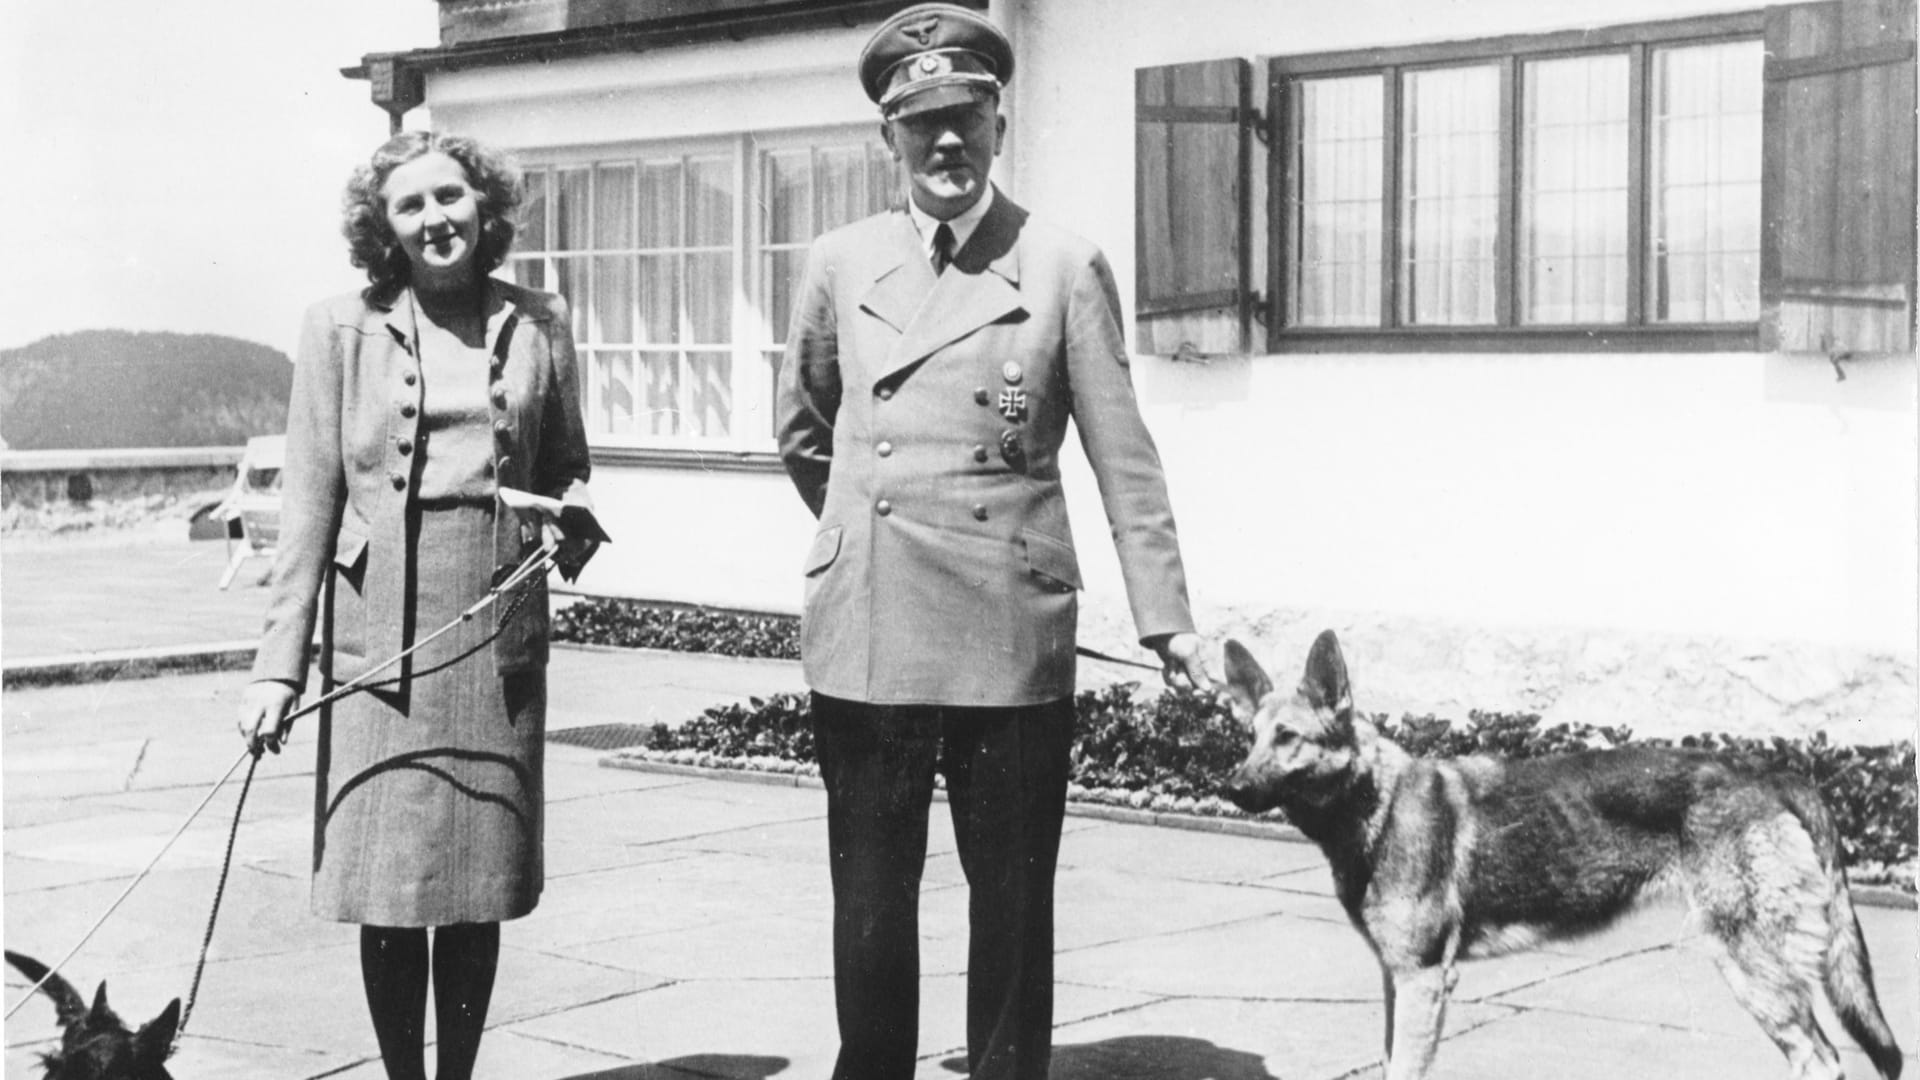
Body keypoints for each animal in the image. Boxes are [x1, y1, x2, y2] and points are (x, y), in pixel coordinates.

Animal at [1221, 630, 1896, 1076]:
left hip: (1751, 968)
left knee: (1822, 1060)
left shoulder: (1422, 981)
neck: (1374, 804)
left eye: (1288, 738)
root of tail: (1773, 774)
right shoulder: (1398, 981)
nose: (1230, 787)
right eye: (1249, 737)